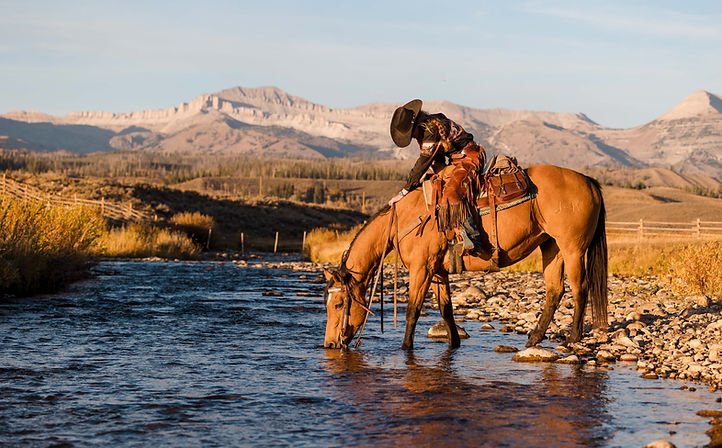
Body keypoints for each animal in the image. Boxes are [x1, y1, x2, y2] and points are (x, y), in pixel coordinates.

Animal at [323, 164, 608, 350]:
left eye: (338, 304)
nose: (330, 344)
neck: (405, 219)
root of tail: (588, 181)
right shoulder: (437, 271)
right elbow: (446, 309)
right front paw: (454, 343)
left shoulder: (421, 269)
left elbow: (413, 310)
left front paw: (405, 348)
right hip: (551, 247)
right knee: (554, 290)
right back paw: (534, 338)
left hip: (573, 249)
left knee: (580, 289)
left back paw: (573, 337)